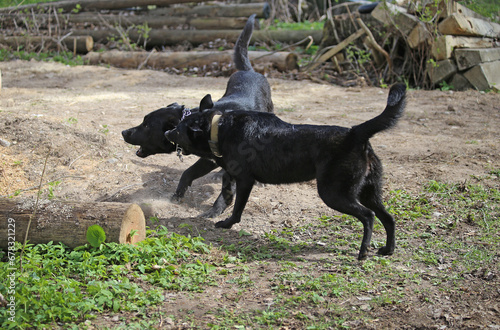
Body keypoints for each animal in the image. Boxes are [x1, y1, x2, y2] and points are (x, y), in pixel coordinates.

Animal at [121, 14, 274, 217]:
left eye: (146, 125)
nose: (124, 132)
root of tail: (249, 71)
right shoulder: (207, 160)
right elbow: (188, 173)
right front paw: (176, 196)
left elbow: (227, 188)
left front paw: (215, 210)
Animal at [166, 84, 408, 260]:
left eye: (179, 130)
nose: (168, 132)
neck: (220, 128)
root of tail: (355, 133)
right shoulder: (233, 176)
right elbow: (226, 192)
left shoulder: (245, 180)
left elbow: (237, 209)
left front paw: (227, 224)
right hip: (368, 192)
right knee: (389, 218)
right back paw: (388, 250)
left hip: (334, 193)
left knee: (369, 216)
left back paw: (363, 251)